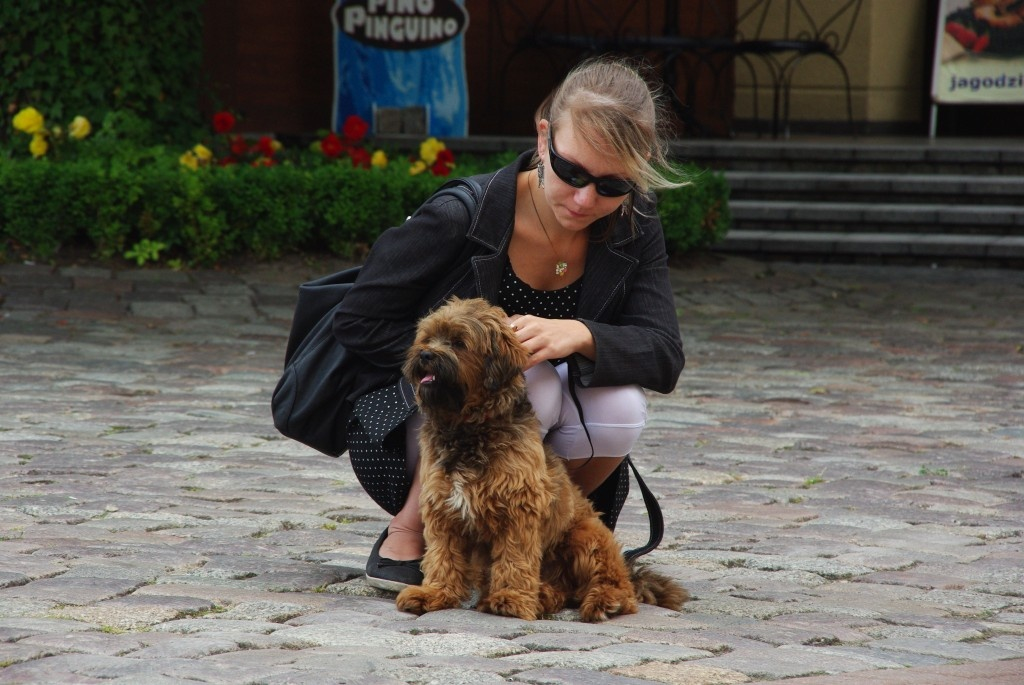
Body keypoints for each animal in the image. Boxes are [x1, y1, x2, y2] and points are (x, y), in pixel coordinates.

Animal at [393, 296, 688, 622]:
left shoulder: (517, 509)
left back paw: (605, 600)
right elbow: (443, 557)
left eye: (459, 342)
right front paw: (436, 593)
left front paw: (510, 597)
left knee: (614, 582)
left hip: (585, 535)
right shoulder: (443, 511)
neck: (469, 429)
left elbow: (514, 557)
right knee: (561, 590)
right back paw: (544, 596)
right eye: (427, 337)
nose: (426, 354)